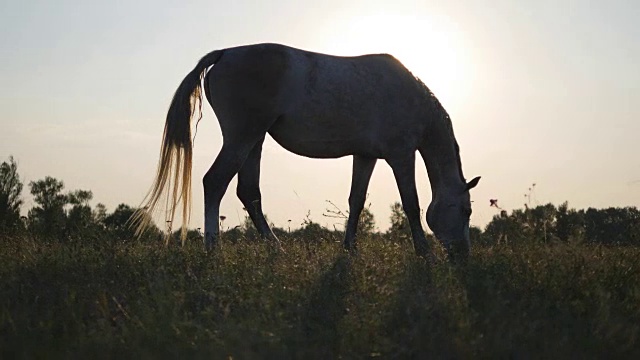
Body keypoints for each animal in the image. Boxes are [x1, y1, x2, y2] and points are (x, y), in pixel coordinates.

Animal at [131, 43, 480, 258]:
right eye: (466, 210)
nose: (462, 256)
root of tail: (225, 54)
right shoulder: (401, 156)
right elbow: (412, 204)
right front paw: (424, 253)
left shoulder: (365, 156)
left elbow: (356, 201)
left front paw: (349, 249)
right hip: (241, 138)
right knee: (214, 182)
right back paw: (213, 249)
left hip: (254, 141)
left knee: (249, 193)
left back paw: (275, 249)